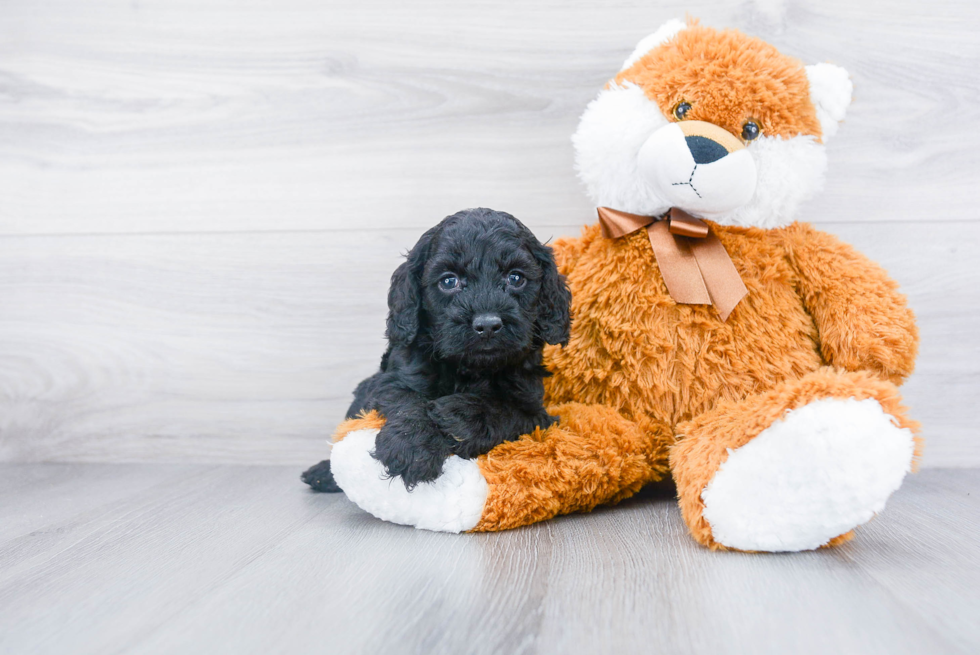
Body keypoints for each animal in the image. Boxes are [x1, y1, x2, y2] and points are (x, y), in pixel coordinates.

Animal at [302, 210, 572, 492]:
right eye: (449, 281)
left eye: (516, 278)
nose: (487, 325)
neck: (470, 368)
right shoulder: (395, 378)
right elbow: (407, 400)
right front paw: (412, 448)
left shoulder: (536, 411)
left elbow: (509, 413)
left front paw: (460, 415)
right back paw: (322, 473)